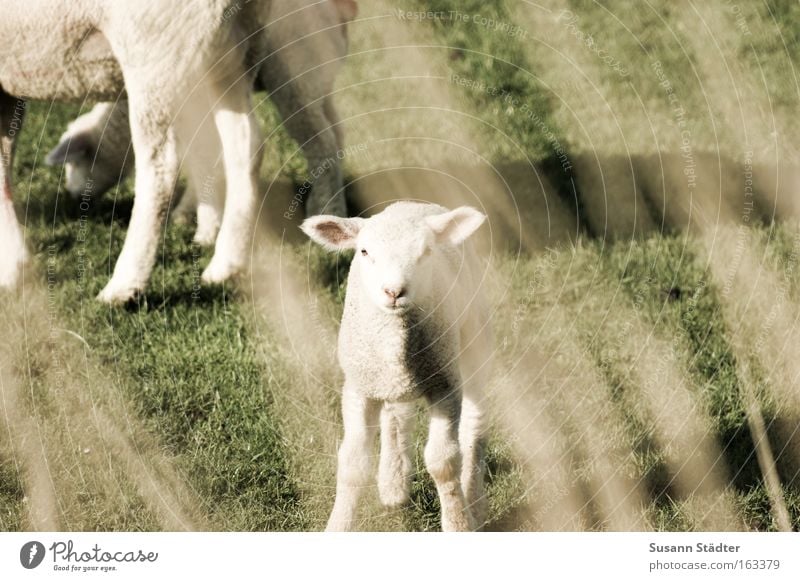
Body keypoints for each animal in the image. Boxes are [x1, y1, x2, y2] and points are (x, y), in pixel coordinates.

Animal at [302, 201, 494, 532]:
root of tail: (413, 204)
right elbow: (352, 463)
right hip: (387, 378)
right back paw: (393, 484)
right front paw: (338, 525)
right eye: (364, 251)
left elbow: (443, 462)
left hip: (473, 339)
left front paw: (458, 522)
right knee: (396, 414)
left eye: (426, 251)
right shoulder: (358, 388)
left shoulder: (445, 385)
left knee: (474, 423)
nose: (394, 292)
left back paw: (474, 502)